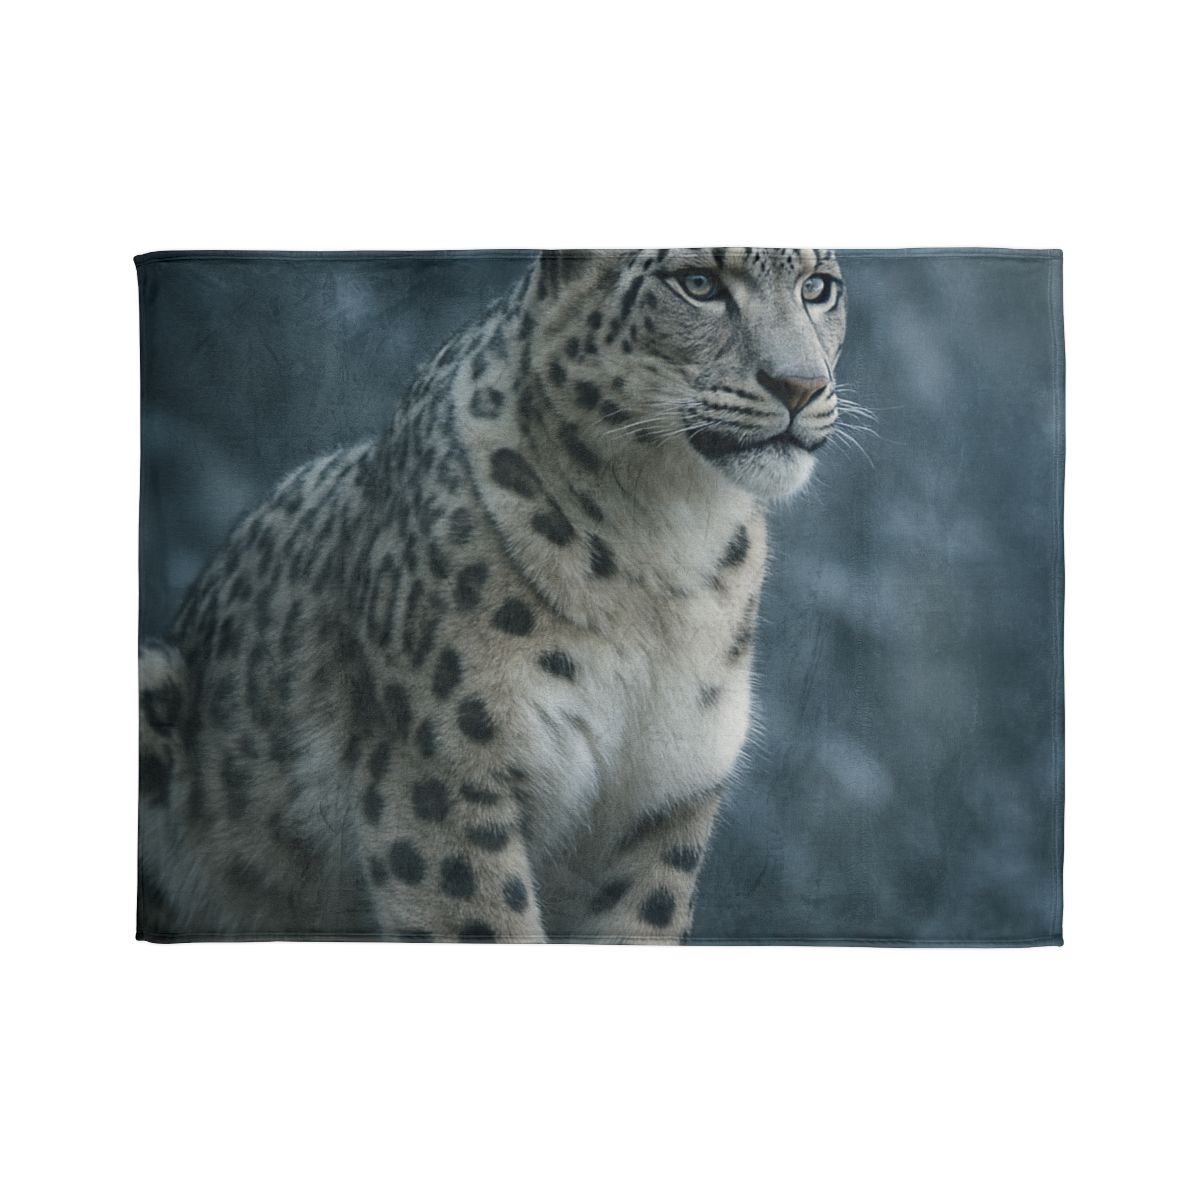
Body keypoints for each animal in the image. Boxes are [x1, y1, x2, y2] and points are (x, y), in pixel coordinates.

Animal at [137, 247, 848, 942]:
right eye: (698, 283)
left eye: (818, 287)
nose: (801, 384)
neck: (671, 538)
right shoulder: (443, 778)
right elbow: (485, 921)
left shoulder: (667, 802)